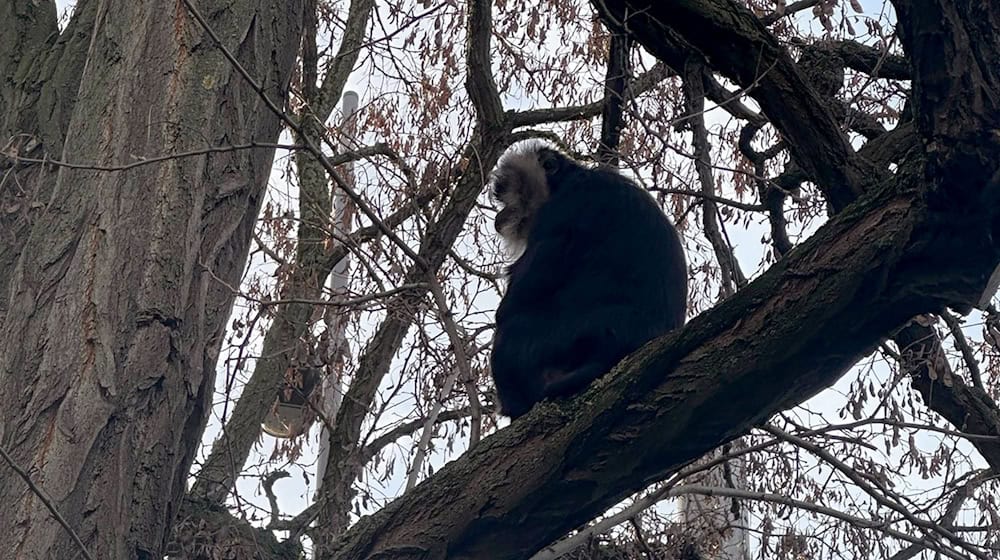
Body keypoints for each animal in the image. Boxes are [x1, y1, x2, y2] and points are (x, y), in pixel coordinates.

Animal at [490, 142, 688, 418]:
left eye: (506, 192)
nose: (500, 215)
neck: (566, 181)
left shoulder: (563, 207)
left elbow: (522, 293)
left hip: (569, 336)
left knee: (510, 335)